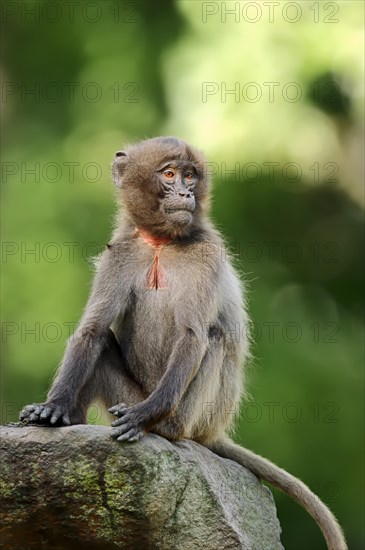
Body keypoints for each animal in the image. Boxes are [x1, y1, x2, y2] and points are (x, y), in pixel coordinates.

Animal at [21, 136, 346, 548]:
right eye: (170, 174)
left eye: (191, 176)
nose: (185, 193)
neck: (161, 243)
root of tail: (211, 431)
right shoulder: (121, 252)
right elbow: (92, 331)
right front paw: (53, 407)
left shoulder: (205, 253)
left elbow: (192, 335)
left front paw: (143, 416)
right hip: (128, 393)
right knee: (106, 342)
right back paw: (72, 420)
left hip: (194, 414)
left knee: (213, 338)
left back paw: (160, 427)